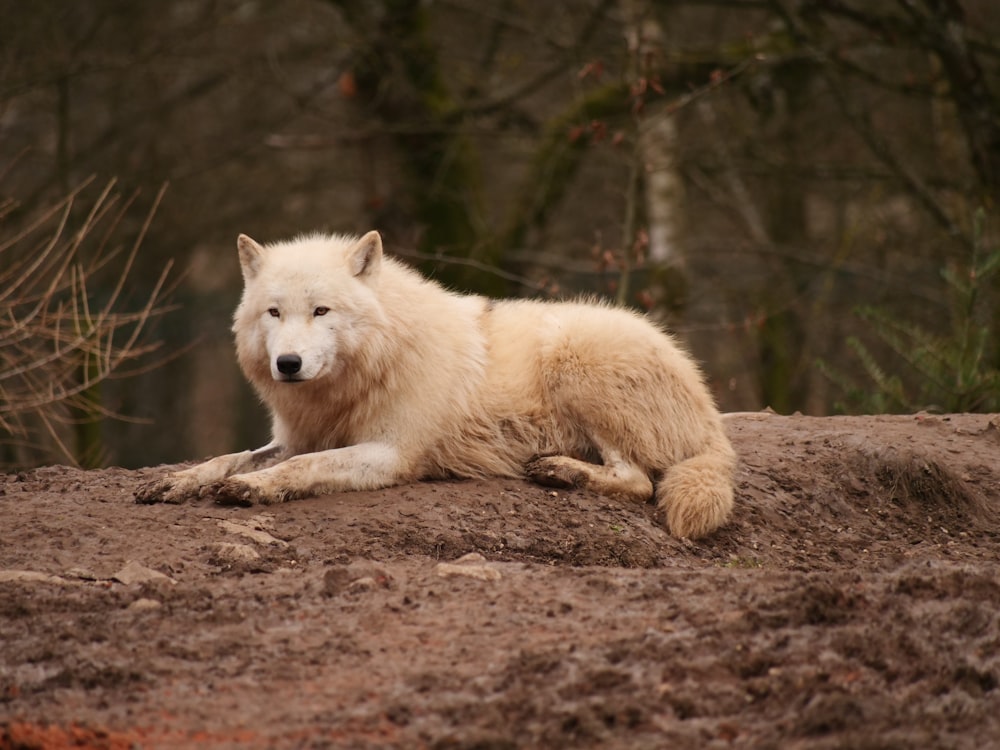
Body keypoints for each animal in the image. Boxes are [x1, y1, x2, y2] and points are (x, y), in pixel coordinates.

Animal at [137, 232, 736, 536]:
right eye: (274, 312)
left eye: (321, 311)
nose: (288, 363)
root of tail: (706, 404)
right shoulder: (299, 435)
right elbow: (230, 457)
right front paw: (176, 481)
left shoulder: (392, 452)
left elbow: (300, 468)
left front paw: (254, 489)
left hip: (576, 363)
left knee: (639, 482)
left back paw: (561, 471)